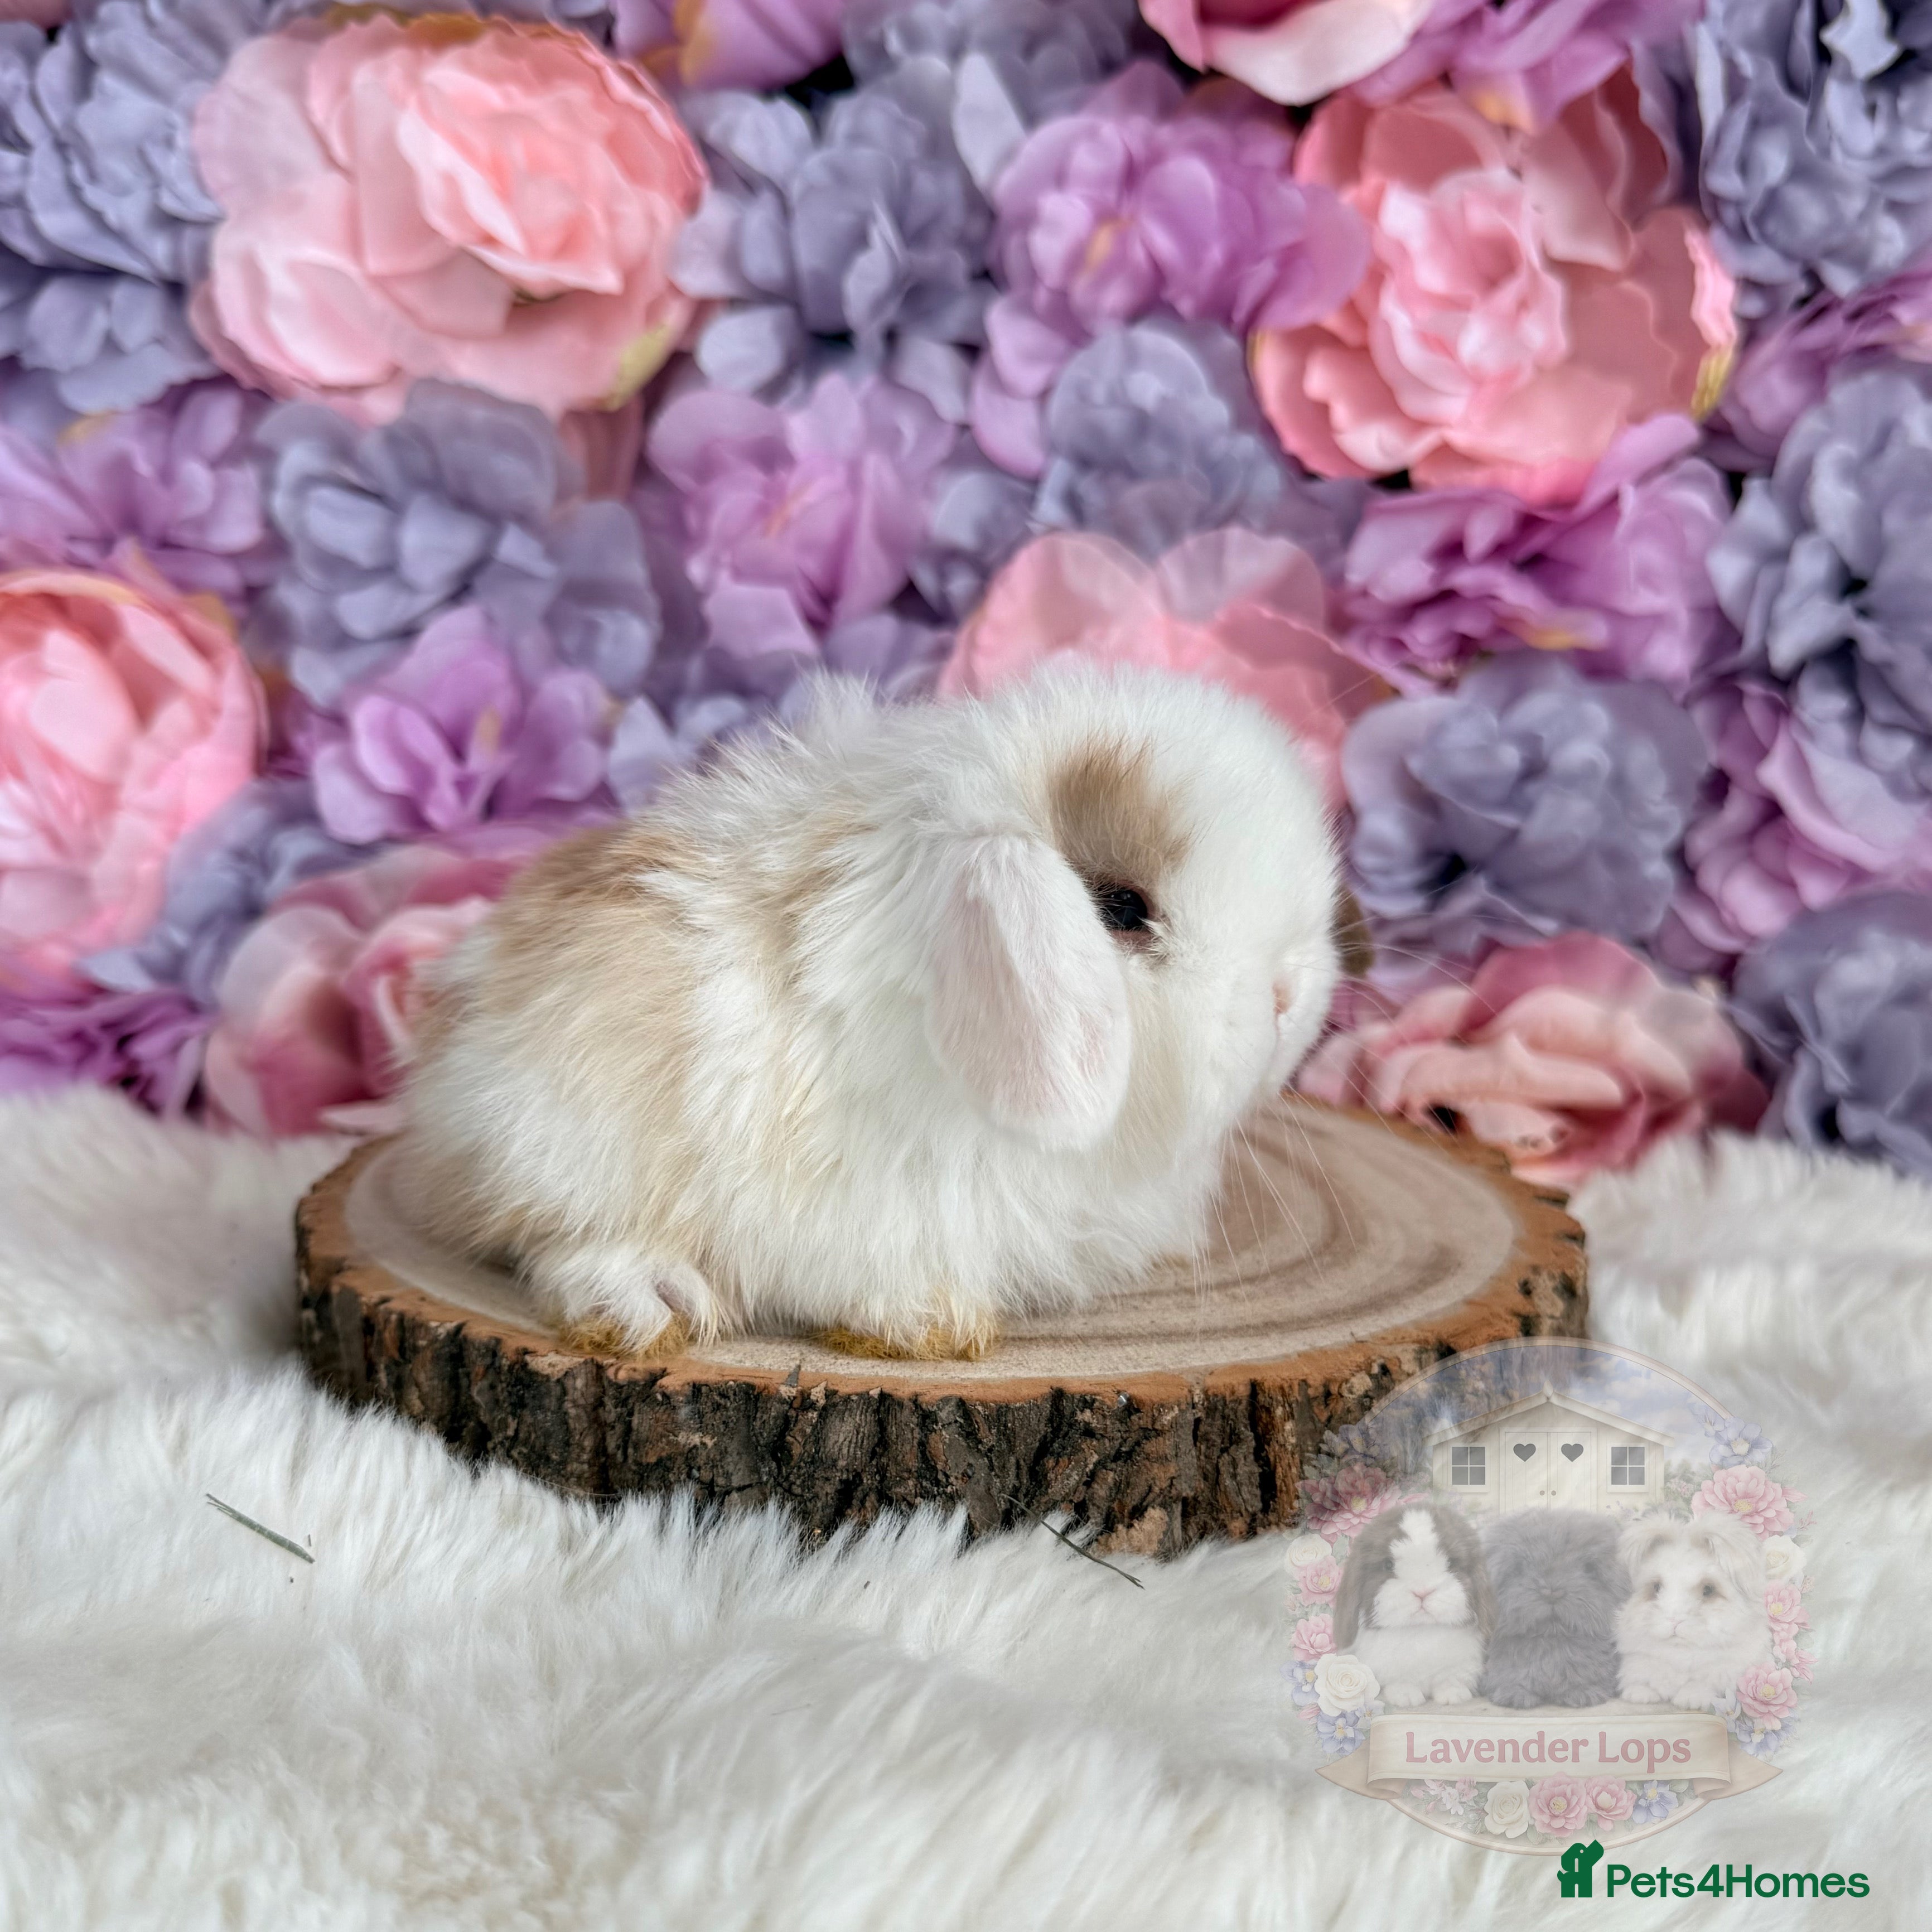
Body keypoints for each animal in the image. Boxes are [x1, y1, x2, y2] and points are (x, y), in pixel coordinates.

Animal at [396, 659, 1345, 1358]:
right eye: (1121, 908)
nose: (1290, 993)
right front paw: (930, 1325)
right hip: (557, 1133)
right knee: (548, 1238)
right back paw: (650, 1303)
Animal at [1334, 1503, 1493, 1708]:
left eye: (1451, 1563)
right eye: (1388, 1565)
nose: (1422, 1591)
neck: (1422, 1630)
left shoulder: (1460, 1665)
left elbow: (1450, 1680)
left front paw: (1454, 1696)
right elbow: (1400, 1682)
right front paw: (1407, 1698)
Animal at [1477, 1509, 1629, 1709]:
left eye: (1589, 1569)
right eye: (1518, 1569)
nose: (1552, 1593)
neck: (1552, 1641)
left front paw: (1584, 1693)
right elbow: (1511, 1674)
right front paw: (1515, 1694)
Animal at [1616, 1514, 1773, 1709]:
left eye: (1708, 1590)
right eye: (1657, 1587)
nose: (1674, 1620)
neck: (1680, 1651)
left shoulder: (1725, 1672)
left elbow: (1701, 1683)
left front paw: (1690, 1700)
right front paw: (1640, 1695)